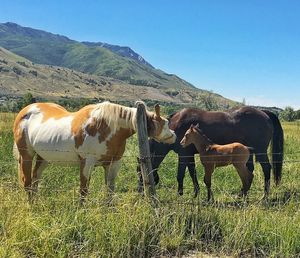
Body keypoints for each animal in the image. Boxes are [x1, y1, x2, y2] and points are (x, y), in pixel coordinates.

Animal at [14, 101, 177, 200]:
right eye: (165, 123)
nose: (174, 136)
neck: (107, 127)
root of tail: (25, 111)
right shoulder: (87, 163)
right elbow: (84, 190)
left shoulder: (113, 163)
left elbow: (110, 189)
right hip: (26, 155)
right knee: (27, 182)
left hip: (43, 158)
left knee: (35, 179)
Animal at [138, 106, 284, 199]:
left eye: (139, 171)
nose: (140, 192)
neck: (176, 125)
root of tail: (264, 112)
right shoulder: (189, 155)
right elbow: (193, 173)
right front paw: (196, 193)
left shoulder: (183, 155)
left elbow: (180, 175)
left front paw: (179, 194)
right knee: (249, 171)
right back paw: (243, 193)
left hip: (260, 152)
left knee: (266, 168)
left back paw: (265, 195)